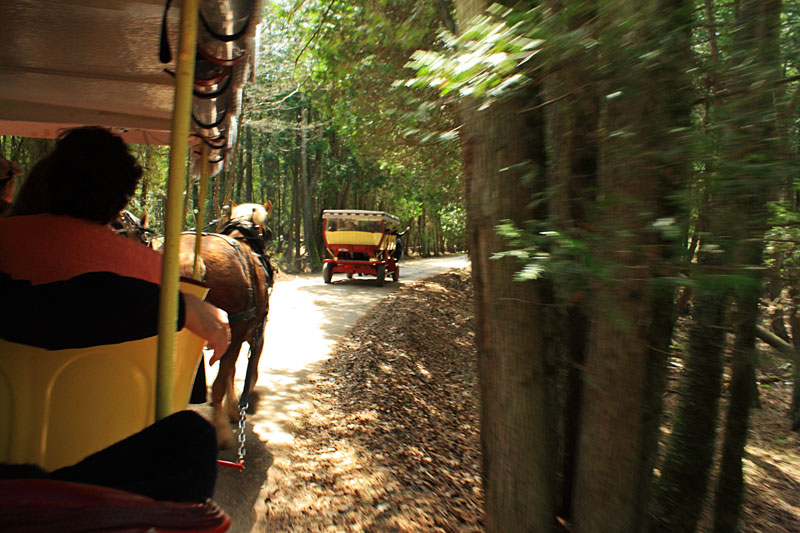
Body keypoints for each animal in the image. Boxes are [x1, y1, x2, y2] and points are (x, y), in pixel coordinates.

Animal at [179, 202, 276, 446]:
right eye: (267, 232)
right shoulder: (254, 333)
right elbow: (245, 371)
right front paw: (237, 408)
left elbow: (230, 373)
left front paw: (232, 409)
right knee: (219, 384)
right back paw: (221, 432)